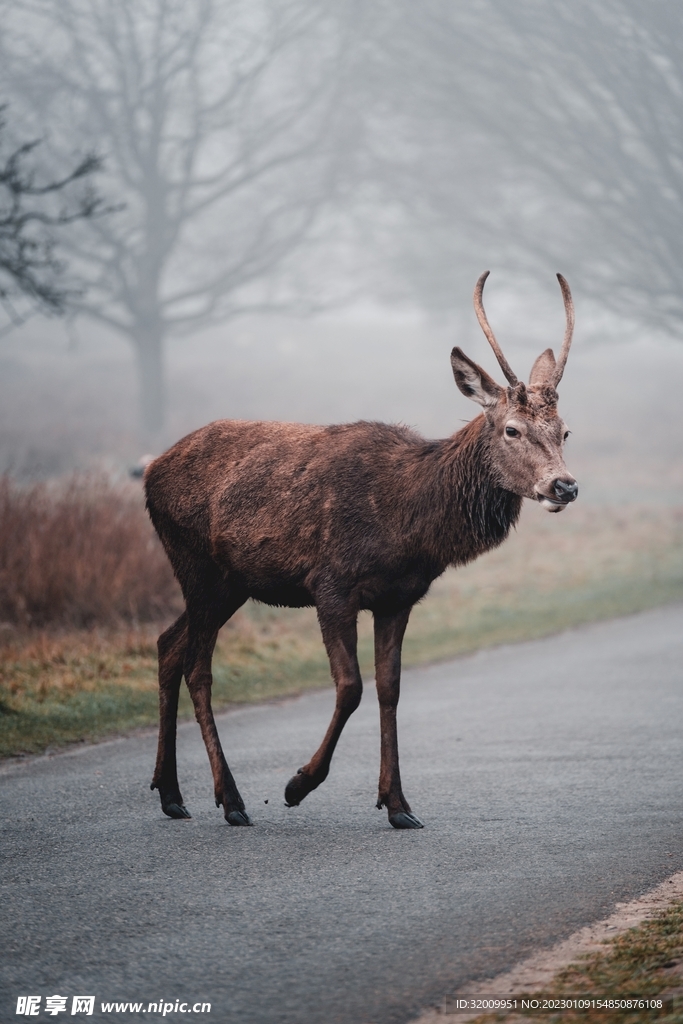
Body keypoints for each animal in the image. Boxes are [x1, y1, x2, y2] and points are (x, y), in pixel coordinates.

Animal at [145, 272, 577, 830]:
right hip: (196, 564)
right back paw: (231, 798)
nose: (564, 485)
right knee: (198, 666)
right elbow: (350, 686)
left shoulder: (399, 597)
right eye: (512, 428)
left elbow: (389, 688)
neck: (407, 521)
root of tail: (150, 472)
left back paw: (171, 793)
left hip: (229, 584)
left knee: (168, 646)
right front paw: (297, 785)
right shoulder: (331, 584)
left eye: (565, 430)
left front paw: (398, 804)